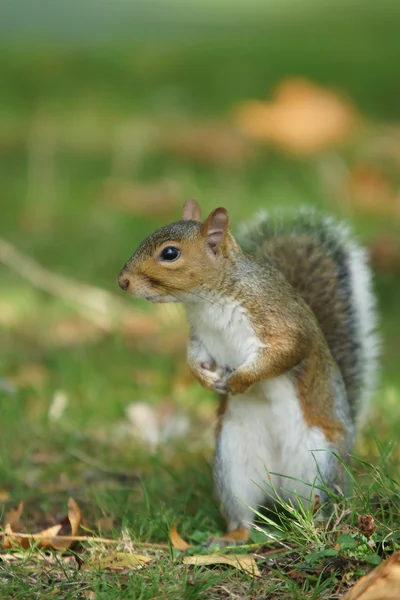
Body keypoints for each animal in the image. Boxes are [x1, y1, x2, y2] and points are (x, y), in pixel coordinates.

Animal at [116, 200, 378, 544]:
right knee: (243, 514)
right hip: (233, 465)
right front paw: (206, 378)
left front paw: (239, 380)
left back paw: (320, 525)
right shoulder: (201, 338)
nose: (122, 281)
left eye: (170, 253)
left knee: (319, 503)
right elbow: (194, 357)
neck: (209, 301)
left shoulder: (281, 323)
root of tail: (280, 489)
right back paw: (233, 536)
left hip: (321, 463)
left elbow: (286, 352)